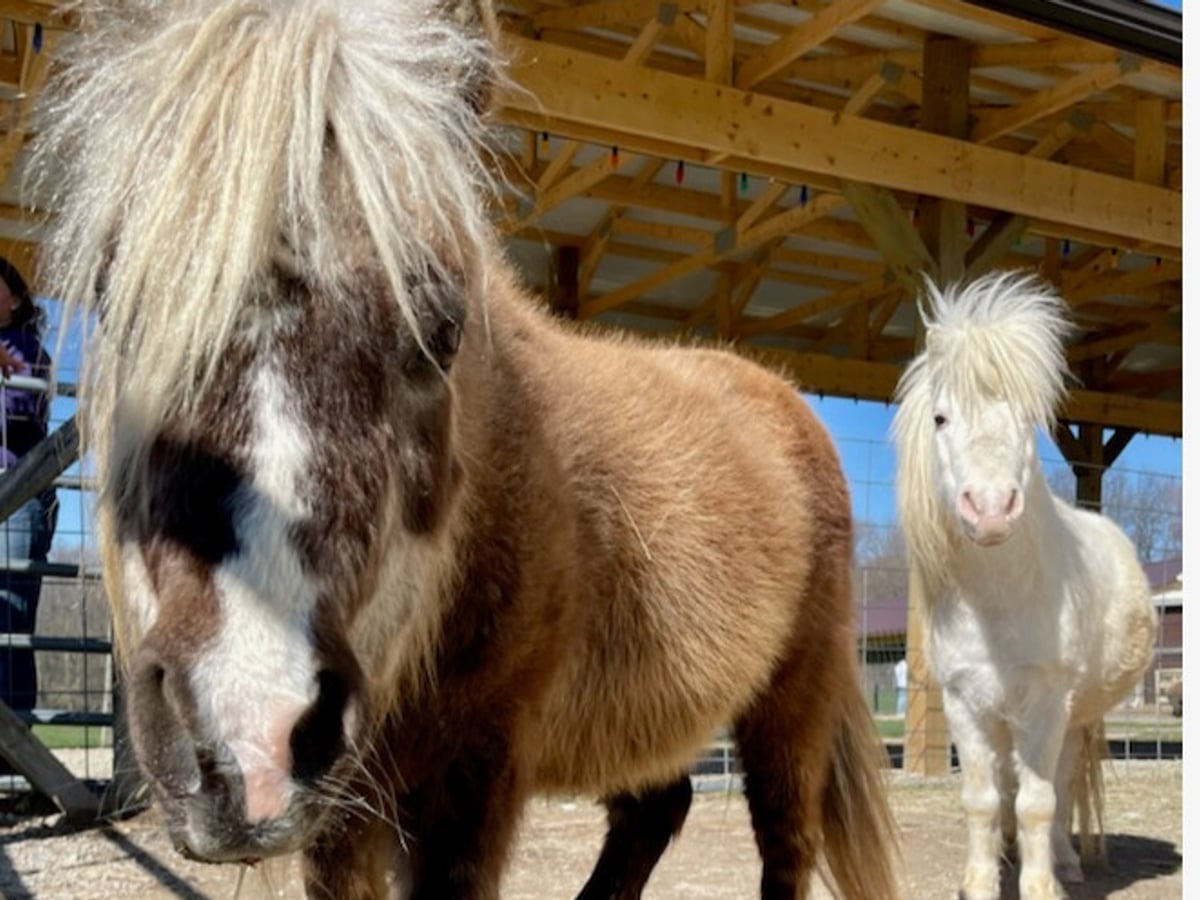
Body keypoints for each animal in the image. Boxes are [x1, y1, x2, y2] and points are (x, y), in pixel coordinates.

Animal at [30, 2, 899, 898]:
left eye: (443, 330)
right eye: (114, 300)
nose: (250, 740)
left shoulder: (470, 779)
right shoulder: (344, 810)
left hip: (791, 706)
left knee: (785, 843)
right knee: (654, 811)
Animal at [891, 273, 1156, 900]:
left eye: (1028, 418)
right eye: (940, 419)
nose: (990, 509)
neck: (998, 603)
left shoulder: (1046, 700)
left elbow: (1039, 800)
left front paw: (1040, 885)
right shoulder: (965, 701)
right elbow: (982, 800)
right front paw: (982, 881)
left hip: (1074, 715)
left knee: (1059, 781)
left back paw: (1064, 861)